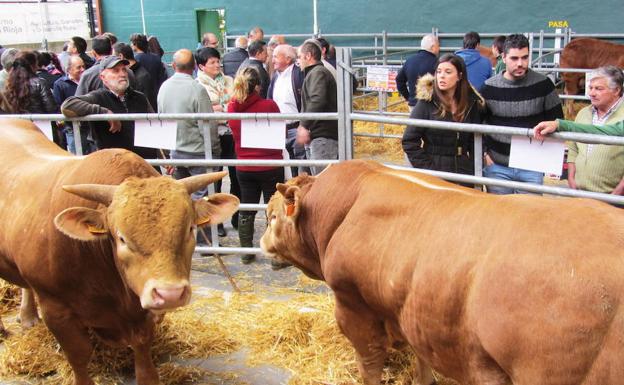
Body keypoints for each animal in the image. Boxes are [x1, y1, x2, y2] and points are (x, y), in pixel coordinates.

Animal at [0, 118, 239, 382]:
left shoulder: (142, 313)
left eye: (190, 229)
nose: (170, 294)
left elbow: (143, 355)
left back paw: (28, 316)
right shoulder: (56, 310)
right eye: (121, 238)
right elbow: (79, 356)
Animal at [260, 159, 624, 384]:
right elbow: (422, 360)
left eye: (272, 215)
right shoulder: (412, 311)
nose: (262, 242)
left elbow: (370, 364)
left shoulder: (352, 305)